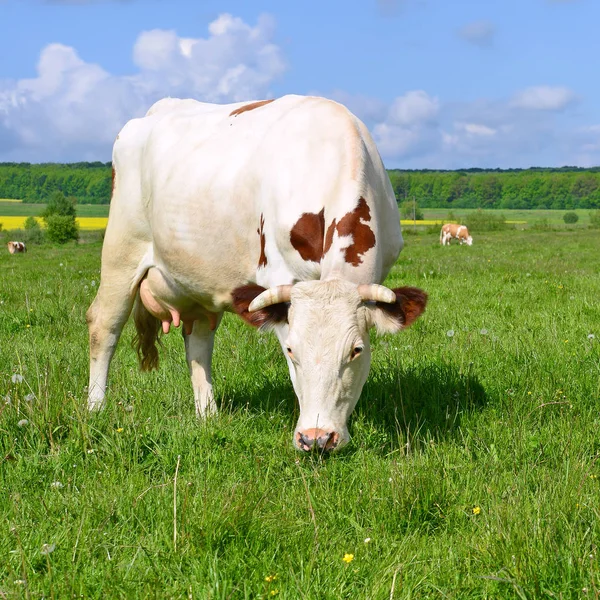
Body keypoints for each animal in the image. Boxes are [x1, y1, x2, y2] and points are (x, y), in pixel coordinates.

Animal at [86, 92, 428, 450]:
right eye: (291, 350)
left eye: (356, 350)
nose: (317, 438)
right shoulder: (280, 280)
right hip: (121, 251)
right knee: (104, 325)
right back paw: (96, 408)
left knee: (198, 342)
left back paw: (208, 416)